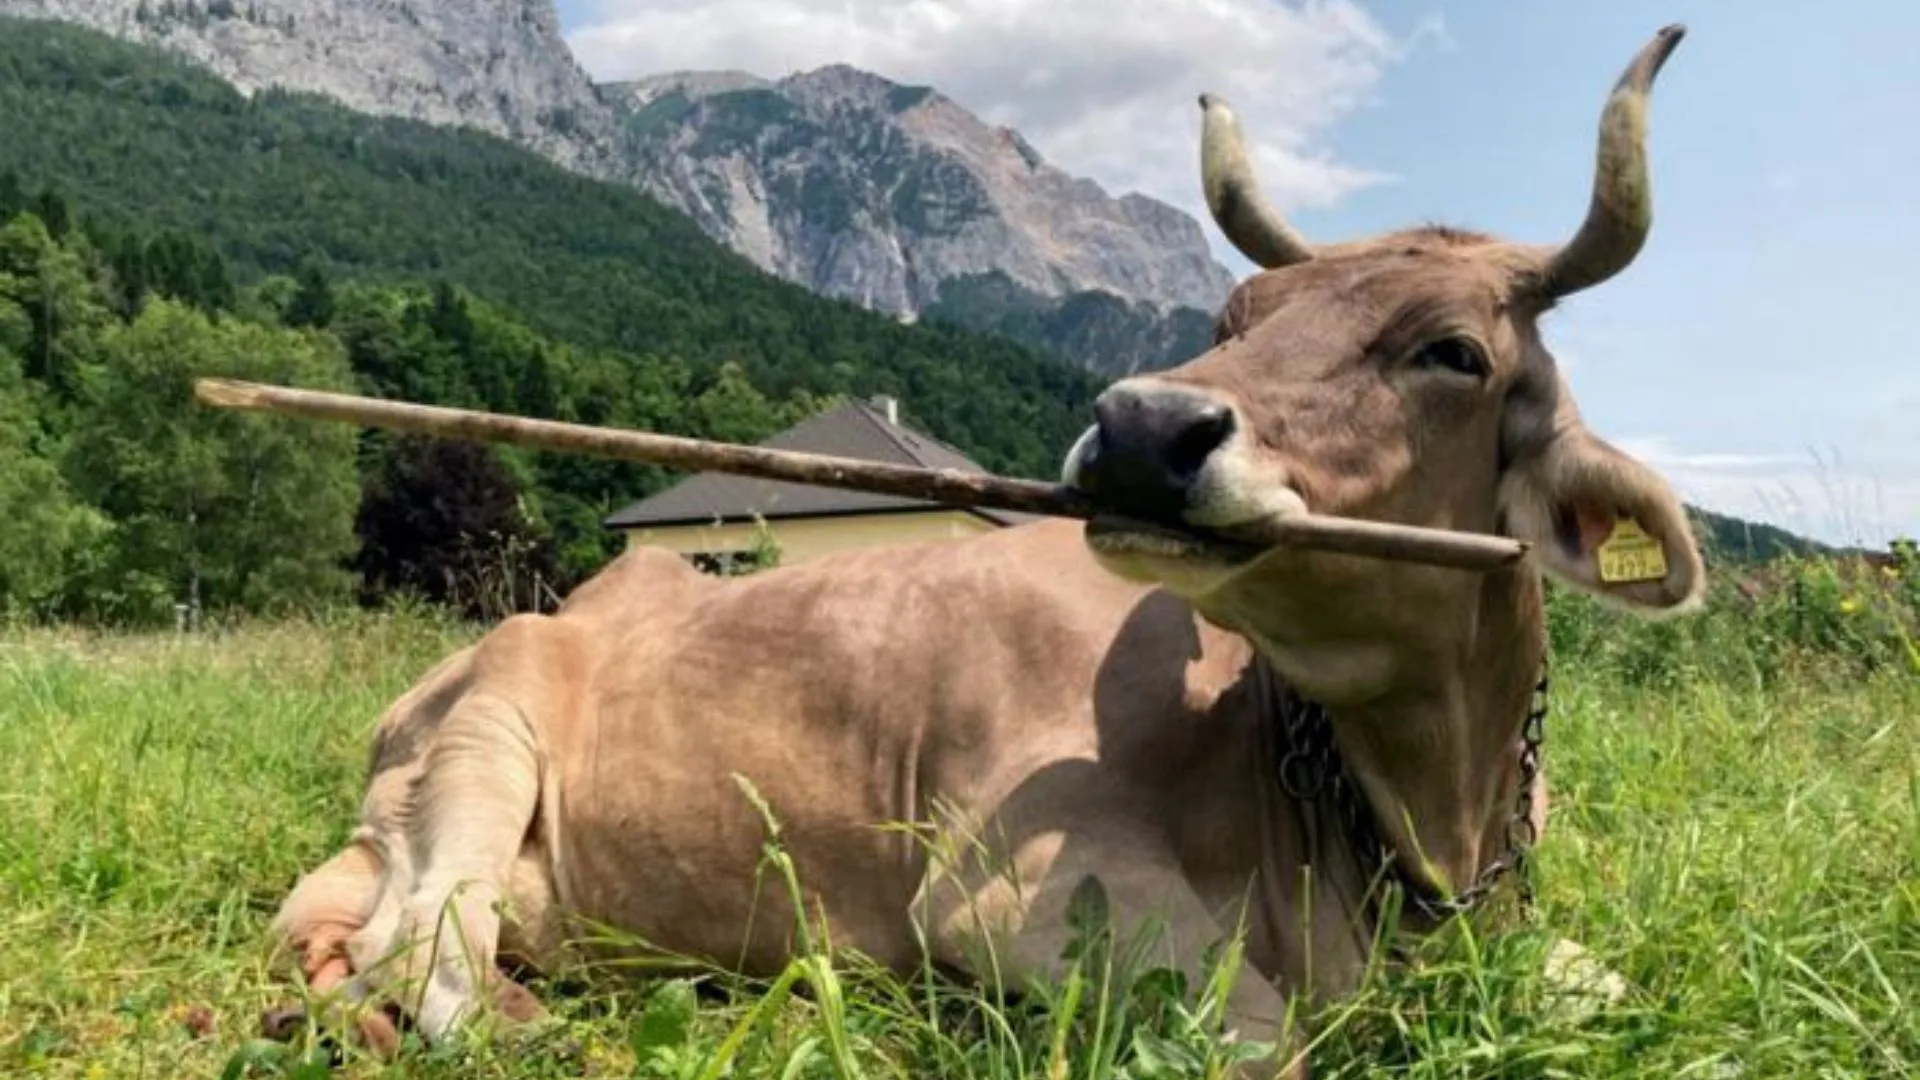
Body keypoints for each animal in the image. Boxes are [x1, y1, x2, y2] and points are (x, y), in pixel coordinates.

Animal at [265, 24, 1703, 1078]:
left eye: (1452, 351)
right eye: (1235, 316)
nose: (1142, 427)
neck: (1417, 826)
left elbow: (1616, 978)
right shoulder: (1019, 897)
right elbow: (1269, 1044)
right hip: (488, 731)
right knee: (428, 952)